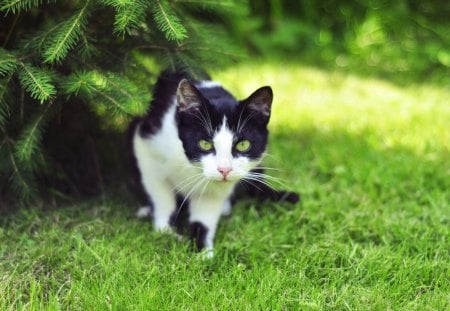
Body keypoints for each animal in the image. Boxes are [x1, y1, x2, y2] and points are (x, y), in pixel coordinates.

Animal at [128, 70, 298, 258]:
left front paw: (202, 251)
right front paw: (166, 231)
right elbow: (162, 196)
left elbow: (205, 214)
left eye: (243, 145)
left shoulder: (216, 190)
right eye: (205, 144)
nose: (224, 170)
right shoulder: (147, 145)